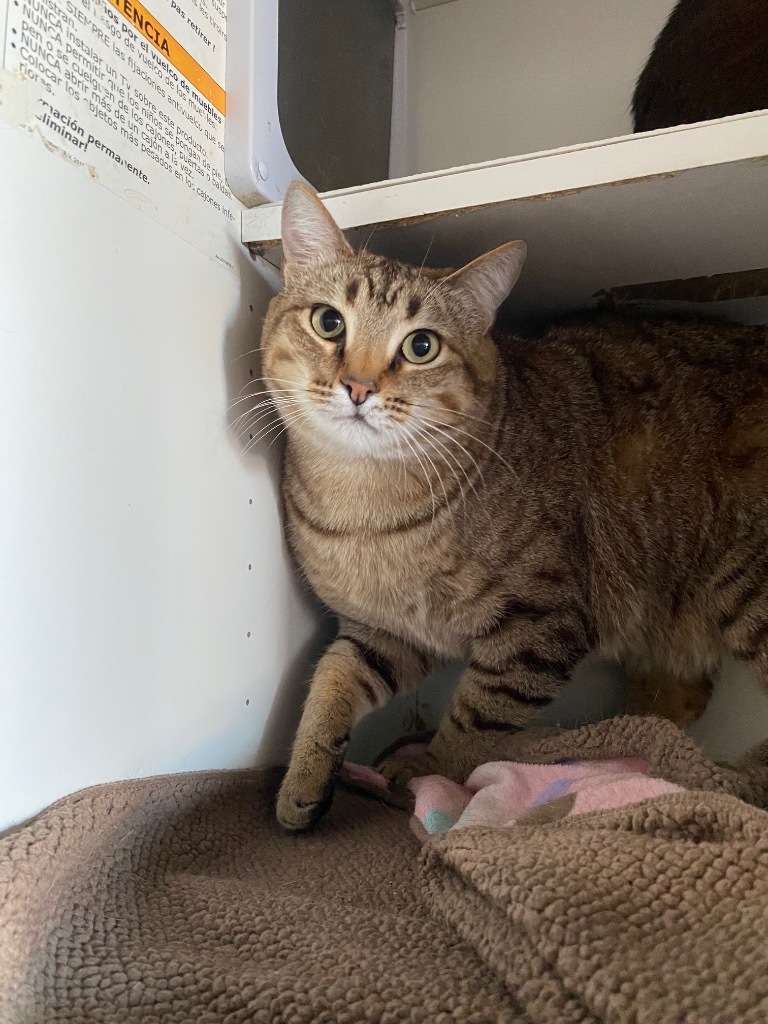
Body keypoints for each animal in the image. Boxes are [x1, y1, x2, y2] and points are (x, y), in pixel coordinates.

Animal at [264, 182, 768, 831]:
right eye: (329, 321)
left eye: (421, 346)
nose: (358, 386)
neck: (365, 509)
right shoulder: (383, 631)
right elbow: (331, 678)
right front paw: (304, 777)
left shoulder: (539, 622)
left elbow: (477, 715)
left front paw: (428, 771)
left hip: (747, 588)